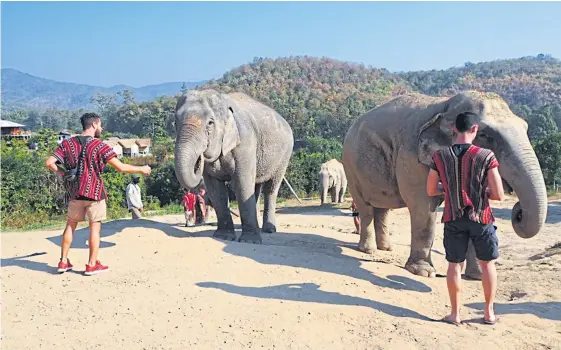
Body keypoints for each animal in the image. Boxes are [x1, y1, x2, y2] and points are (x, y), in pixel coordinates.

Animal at [175, 89, 294, 243]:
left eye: (210, 123)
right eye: (175, 122)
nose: (199, 158)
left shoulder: (245, 142)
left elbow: (242, 183)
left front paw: (249, 241)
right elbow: (214, 189)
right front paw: (224, 237)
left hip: (284, 155)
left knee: (271, 187)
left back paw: (269, 230)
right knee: (256, 186)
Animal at [342, 90, 548, 278]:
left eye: (525, 128)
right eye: (484, 135)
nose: (518, 211)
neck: (444, 105)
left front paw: (477, 276)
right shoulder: (412, 157)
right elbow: (423, 206)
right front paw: (423, 272)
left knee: (383, 207)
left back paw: (386, 249)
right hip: (350, 168)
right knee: (366, 207)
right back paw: (368, 250)